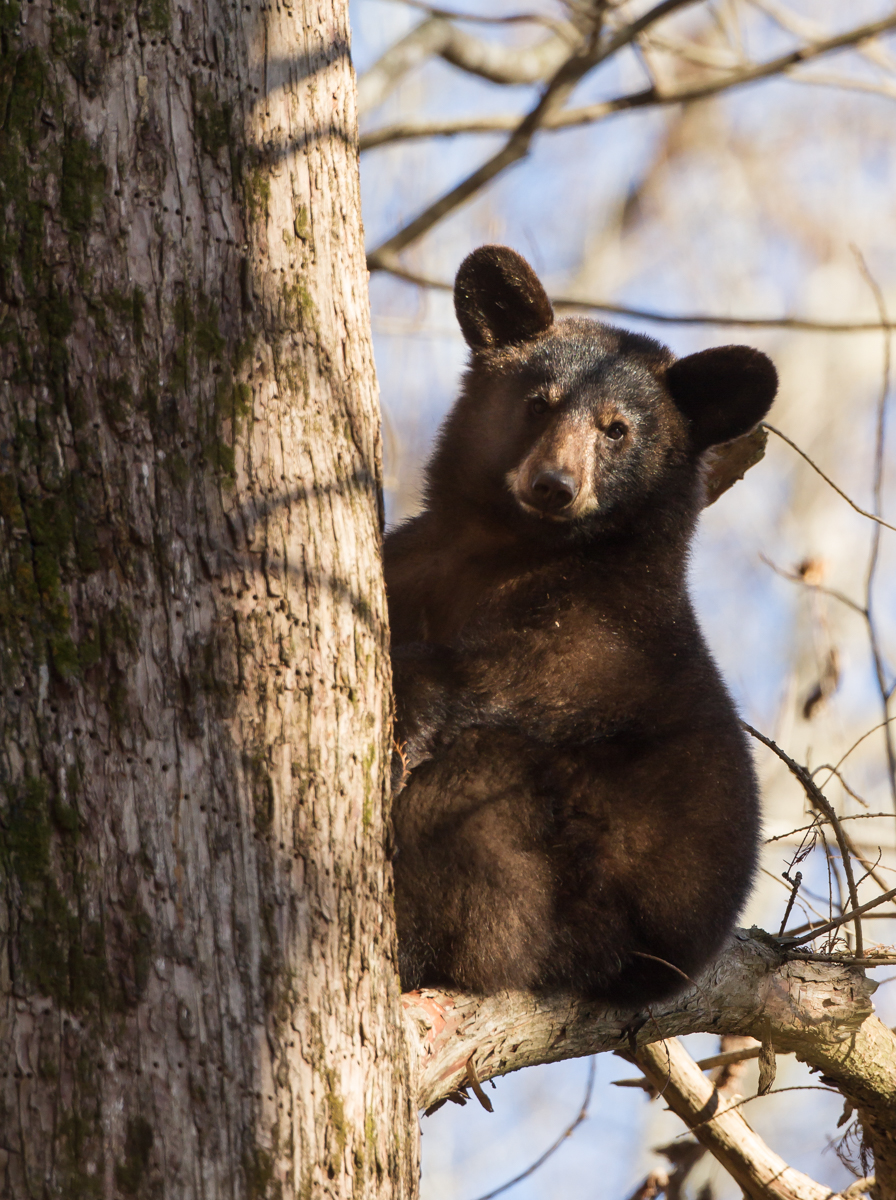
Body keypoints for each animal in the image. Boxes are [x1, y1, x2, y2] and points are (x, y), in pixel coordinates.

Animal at [384, 245, 777, 1007]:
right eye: (538, 402)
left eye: (616, 428)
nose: (554, 485)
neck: (506, 549)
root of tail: (655, 971)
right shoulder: (415, 560)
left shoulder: (606, 629)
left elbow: (517, 678)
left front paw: (411, 698)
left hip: (560, 894)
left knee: (473, 794)